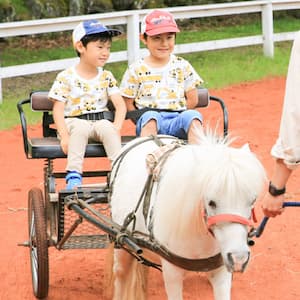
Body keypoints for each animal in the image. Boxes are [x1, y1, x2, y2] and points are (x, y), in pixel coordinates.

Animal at [107, 134, 264, 300]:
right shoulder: (172, 273)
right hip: (121, 241)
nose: (239, 258)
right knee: (120, 275)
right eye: (211, 202)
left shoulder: (221, 270)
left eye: (252, 200)